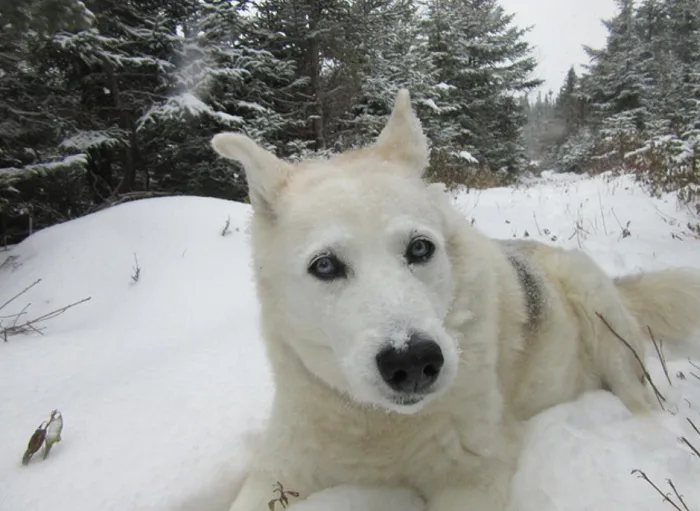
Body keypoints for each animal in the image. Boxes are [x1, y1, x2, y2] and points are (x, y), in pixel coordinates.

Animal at [211, 90, 700, 510]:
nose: (411, 361)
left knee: (639, 398)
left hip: (599, 314)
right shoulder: (278, 470)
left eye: (419, 248)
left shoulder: (473, 476)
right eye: (326, 266)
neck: (383, 425)